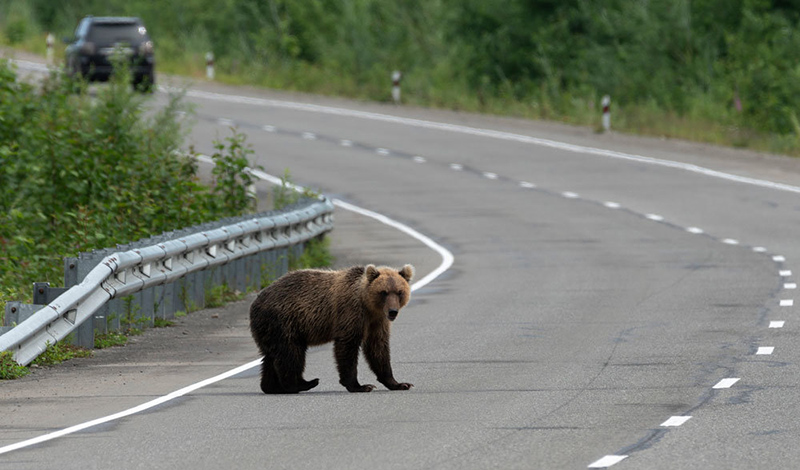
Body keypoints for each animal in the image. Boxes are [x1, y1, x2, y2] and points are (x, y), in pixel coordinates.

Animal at [248, 264, 412, 392]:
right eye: (383, 292)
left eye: (399, 292)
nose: (392, 311)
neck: (368, 306)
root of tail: (254, 304)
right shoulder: (351, 313)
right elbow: (347, 346)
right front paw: (360, 386)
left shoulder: (377, 322)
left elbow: (378, 348)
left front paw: (399, 383)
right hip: (283, 322)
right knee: (290, 353)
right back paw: (302, 384)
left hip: (270, 329)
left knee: (272, 356)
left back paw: (271, 387)